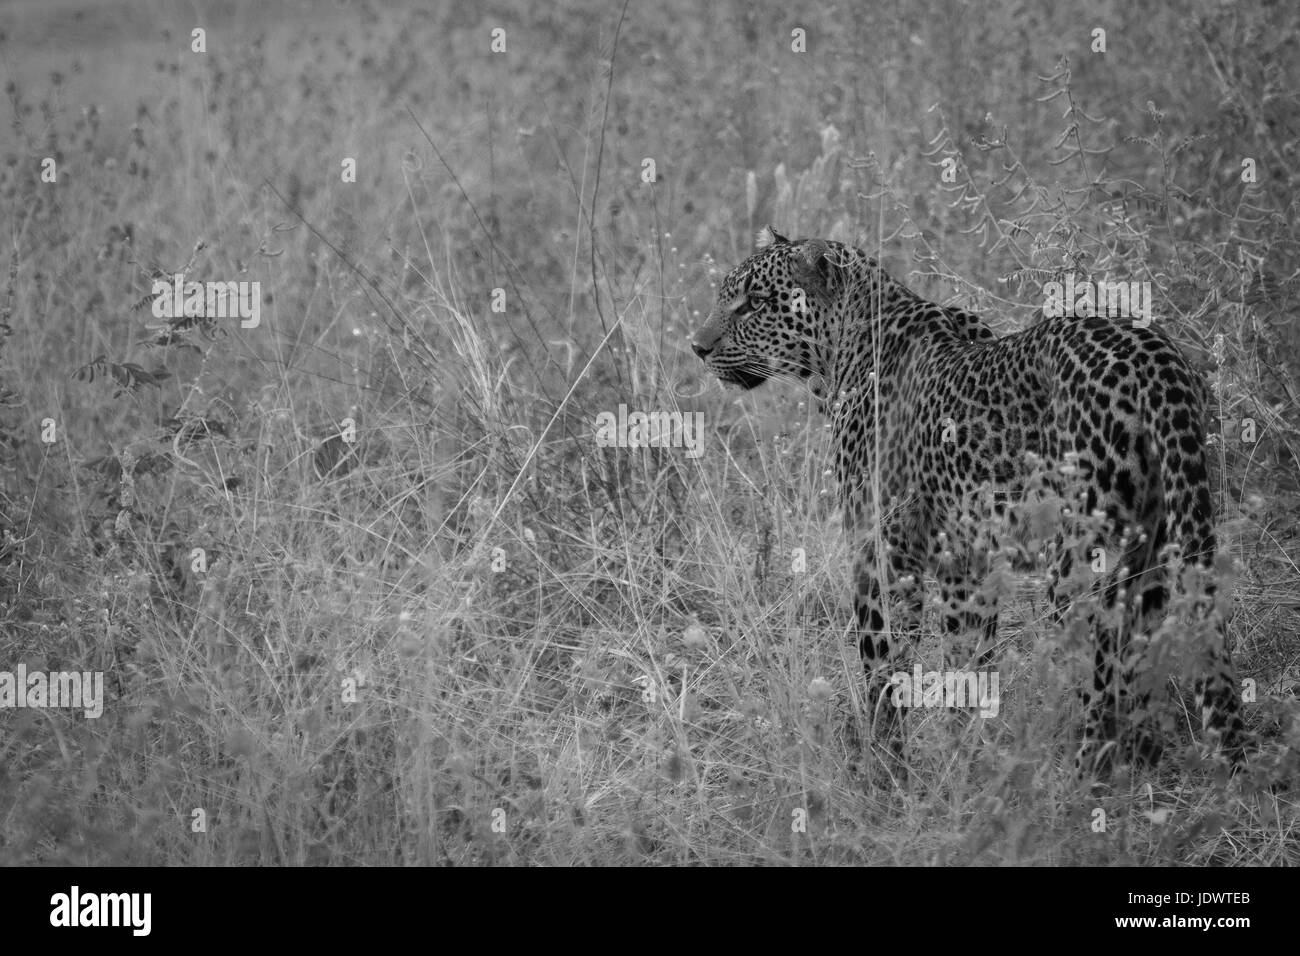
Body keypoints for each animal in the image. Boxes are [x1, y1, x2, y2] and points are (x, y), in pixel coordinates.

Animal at [692, 227, 1245, 773]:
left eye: (754, 303)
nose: (697, 347)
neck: (842, 353)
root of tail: (1153, 355)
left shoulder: (883, 551)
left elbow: (883, 662)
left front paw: (884, 763)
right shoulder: (966, 564)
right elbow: (967, 659)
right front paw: (962, 756)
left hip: (1080, 561)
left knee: (1101, 679)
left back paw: (1081, 776)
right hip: (1155, 551)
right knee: (1142, 672)